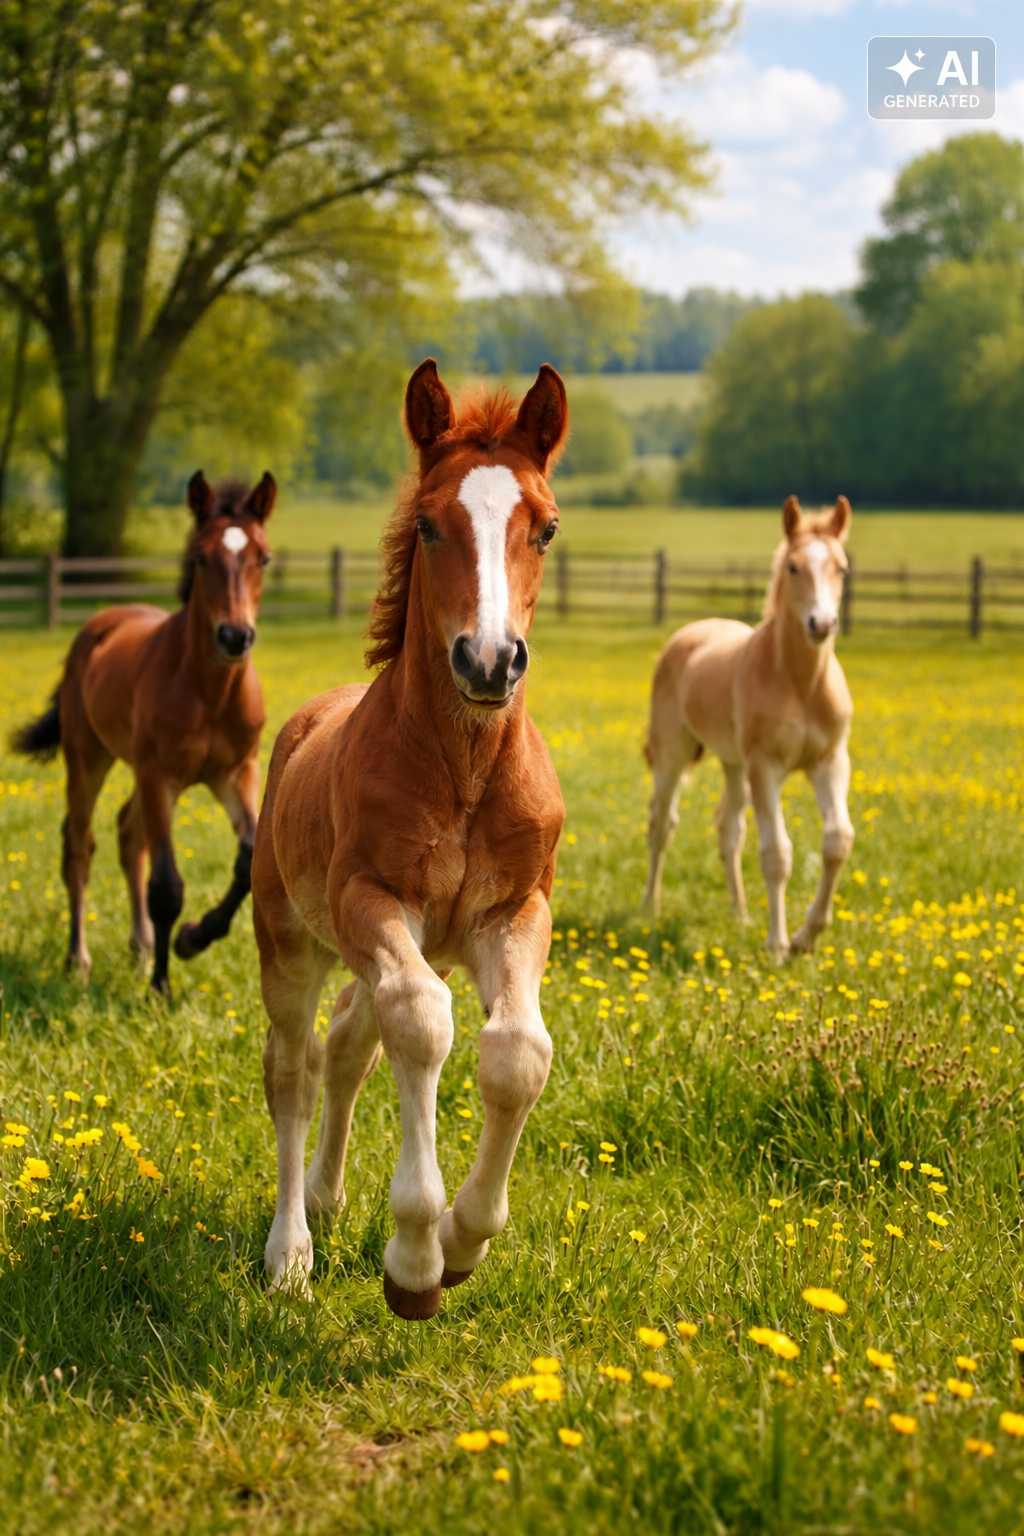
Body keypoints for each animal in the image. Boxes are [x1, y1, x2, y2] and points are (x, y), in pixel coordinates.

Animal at [11, 471, 276, 995]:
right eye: (201, 557)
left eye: (263, 558)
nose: (235, 636)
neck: (210, 692)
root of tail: (100, 621)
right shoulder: (159, 776)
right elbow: (167, 885)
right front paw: (161, 986)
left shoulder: (236, 772)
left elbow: (249, 860)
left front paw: (191, 939)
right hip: (88, 759)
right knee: (80, 845)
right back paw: (79, 959)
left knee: (129, 834)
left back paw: (142, 945)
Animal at [252, 360, 567, 1318]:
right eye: (430, 524)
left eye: (545, 527)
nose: (489, 660)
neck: (462, 771)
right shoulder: (371, 901)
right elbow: (424, 1026)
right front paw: (416, 1260)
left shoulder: (515, 912)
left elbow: (517, 1052)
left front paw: (466, 1242)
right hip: (292, 942)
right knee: (295, 1068)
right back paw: (290, 1250)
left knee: (351, 1039)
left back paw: (326, 1197)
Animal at [643, 494, 854, 961]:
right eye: (793, 567)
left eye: (841, 567)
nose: (821, 624)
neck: (800, 682)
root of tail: (691, 632)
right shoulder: (765, 767)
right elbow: (777, 853)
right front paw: (777, 945)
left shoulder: (829, 762)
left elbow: (837, 841)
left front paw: (806, 937)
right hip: (674, 755)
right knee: (661, 825)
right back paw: (649, 907)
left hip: (733, 764)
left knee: (729, 829)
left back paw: (739, 915)